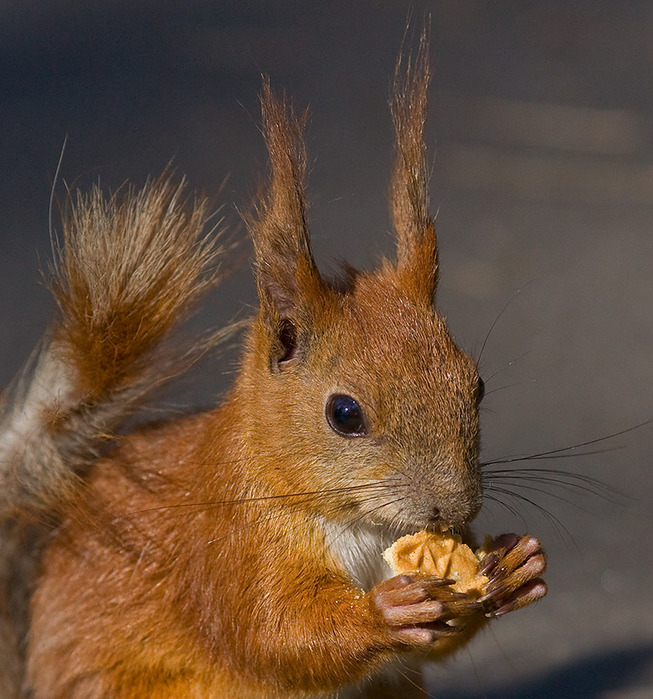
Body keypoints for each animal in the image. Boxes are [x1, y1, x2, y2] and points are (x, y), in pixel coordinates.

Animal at [1, 34, 544, 699]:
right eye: (344, 413)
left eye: (477, 385)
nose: (453, 510)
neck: (357, 524)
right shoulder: (230, 545)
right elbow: (273, 632)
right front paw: (381, 613)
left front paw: (515, 566)